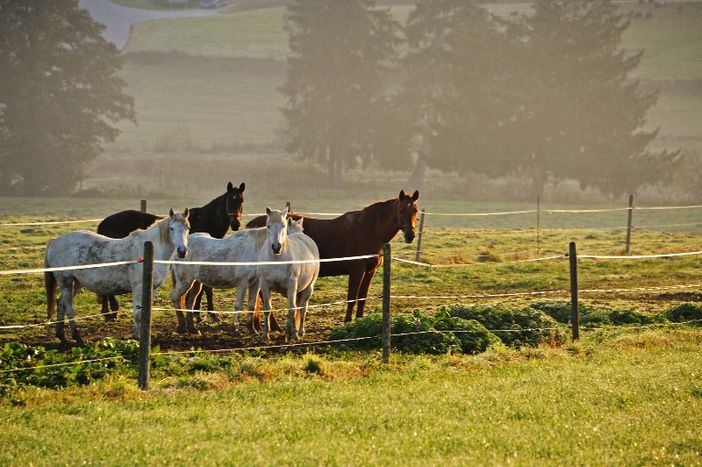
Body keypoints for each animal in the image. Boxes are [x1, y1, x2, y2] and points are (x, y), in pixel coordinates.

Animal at [45, 210, 191, 346]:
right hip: (66, 282)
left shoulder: (152, 289)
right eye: (171, 228)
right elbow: (137, 313)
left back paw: (62, 337)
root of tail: (54, 242)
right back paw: (78, 338)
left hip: (75, 283)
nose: (182, 251)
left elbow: (145, 313)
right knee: (68, 308)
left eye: (187, 227)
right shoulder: (138, 288)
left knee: (60, 304)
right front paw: (136, 338)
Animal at [96, 182, 245, 322]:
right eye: (229, 200)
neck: (204, 221)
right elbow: (205, 289)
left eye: (241, 201)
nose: (236, 224)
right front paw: (207, 314)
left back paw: (109, 311)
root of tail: (103, 223)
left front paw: (198, 313)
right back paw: (110, 312)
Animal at [249, 188, 418, 324]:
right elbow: (352, 297)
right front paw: (348, 322)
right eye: (401, 210)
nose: (410, 235)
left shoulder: (370, 271)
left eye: (415, 211)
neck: (370, 230)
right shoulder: (357, 271)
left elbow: (362, 298)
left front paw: (359, 320)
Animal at [258, 207, 322, 342]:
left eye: (283, 226)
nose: (276, 247)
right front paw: (265, 336)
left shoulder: (292, 286)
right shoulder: (264, 285)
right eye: (268, 226)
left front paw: (294, 335)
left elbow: (292, 309)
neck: (276, 260)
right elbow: (267, 309)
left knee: (302, 308)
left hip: (308, 288)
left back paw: (300, 331)